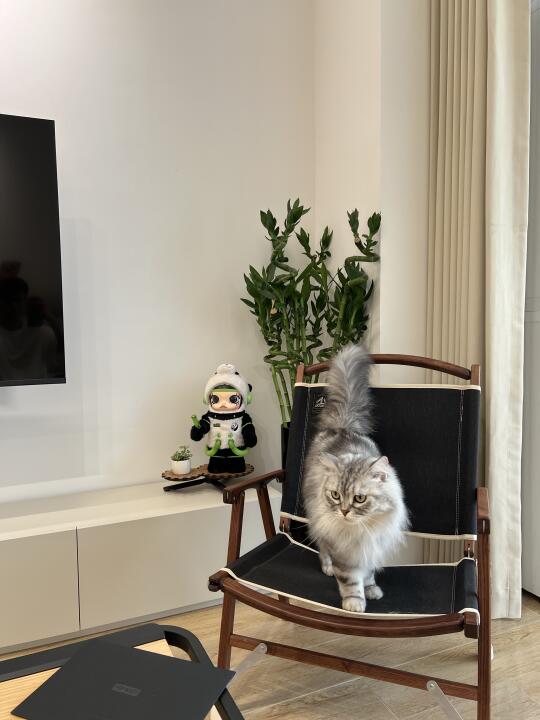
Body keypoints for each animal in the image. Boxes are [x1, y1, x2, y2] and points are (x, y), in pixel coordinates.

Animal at [303, 344, 409, 613]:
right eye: (335, 495)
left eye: (359, 498)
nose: (343, 511)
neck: (362, 530)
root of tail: (344, 428)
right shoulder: (345, 552)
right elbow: (350, 580)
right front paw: (354, 603)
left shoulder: (370, 547)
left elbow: (368, 574)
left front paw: (371, 590)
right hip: (318, 520)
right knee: (322, 548)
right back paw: (327, 567)